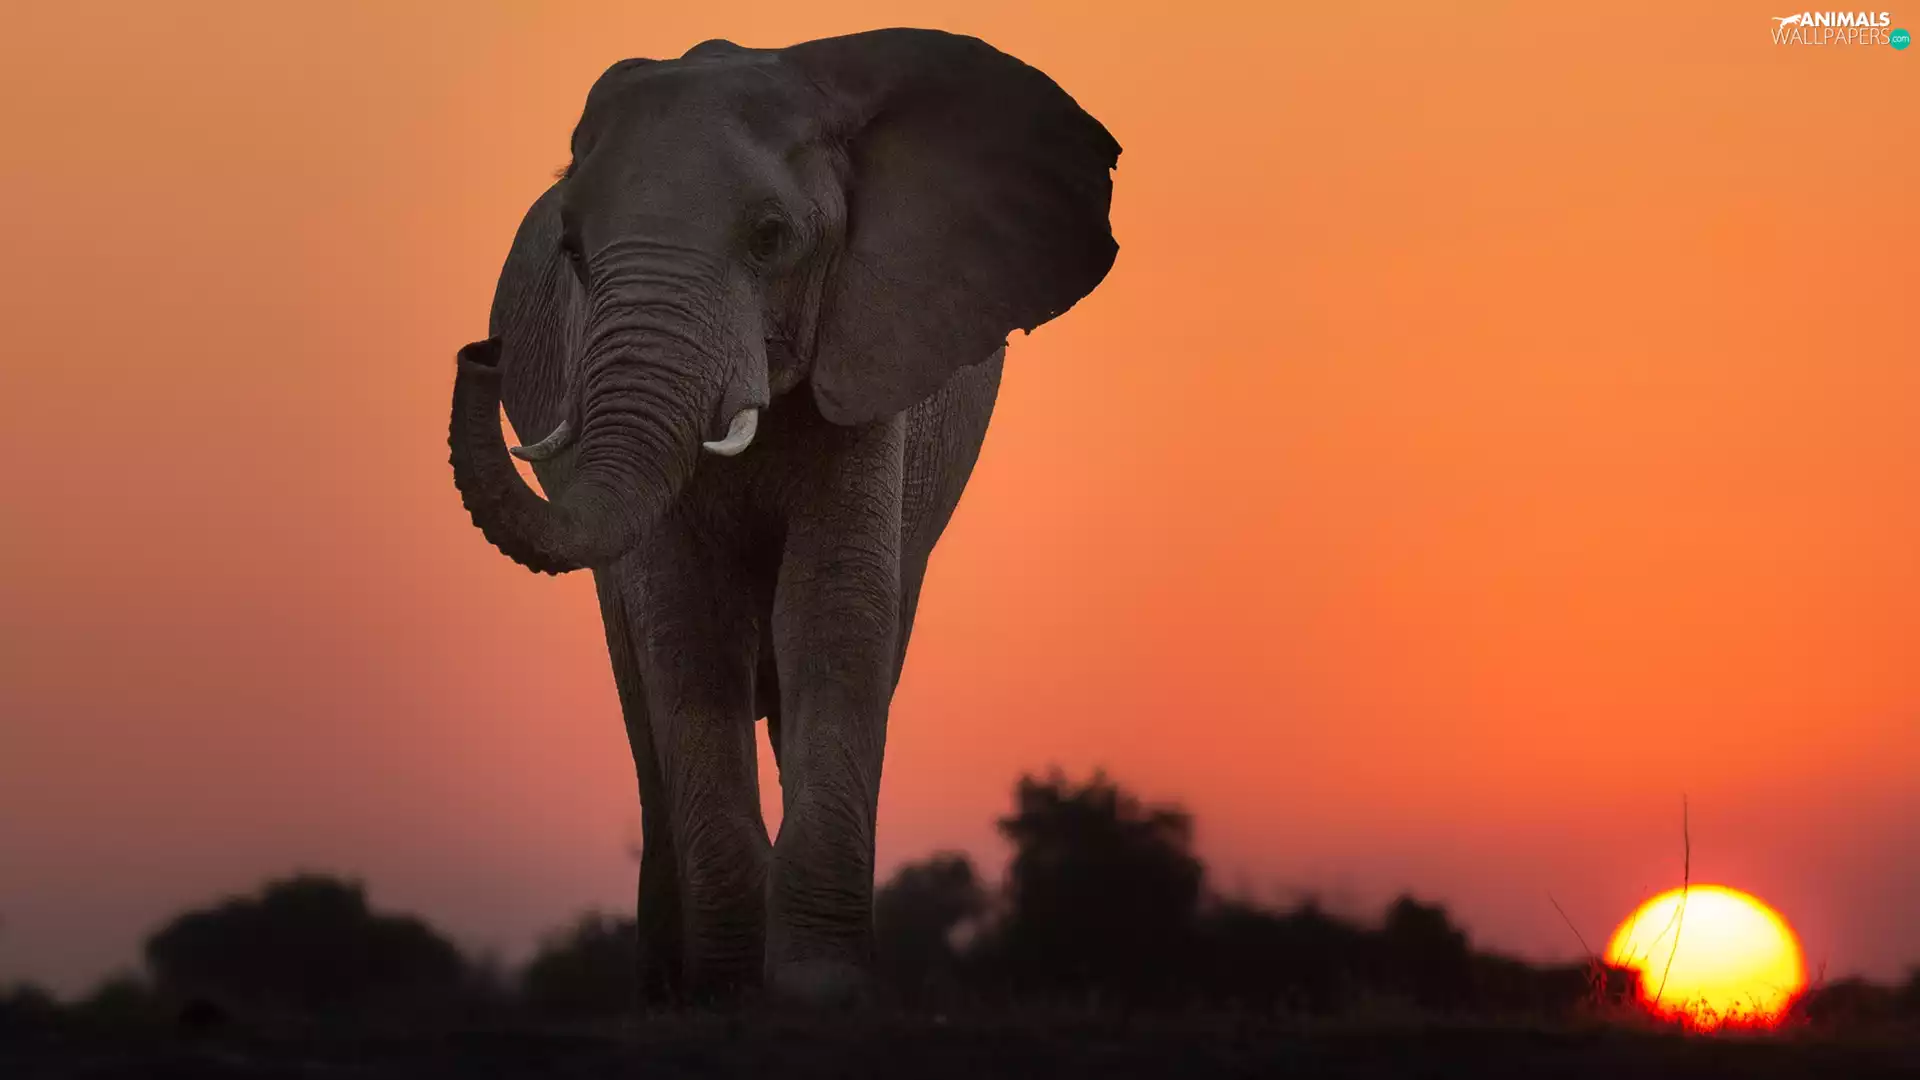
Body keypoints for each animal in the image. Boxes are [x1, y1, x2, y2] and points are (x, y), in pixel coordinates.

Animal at [446, 28, 1119, 1007]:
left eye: (771, 237)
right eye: (571, 248)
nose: (479, 352)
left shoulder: (872, 348)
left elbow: (832, 613)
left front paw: (819, 992)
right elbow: (686, 632)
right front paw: (724, 994)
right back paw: (664, 990)